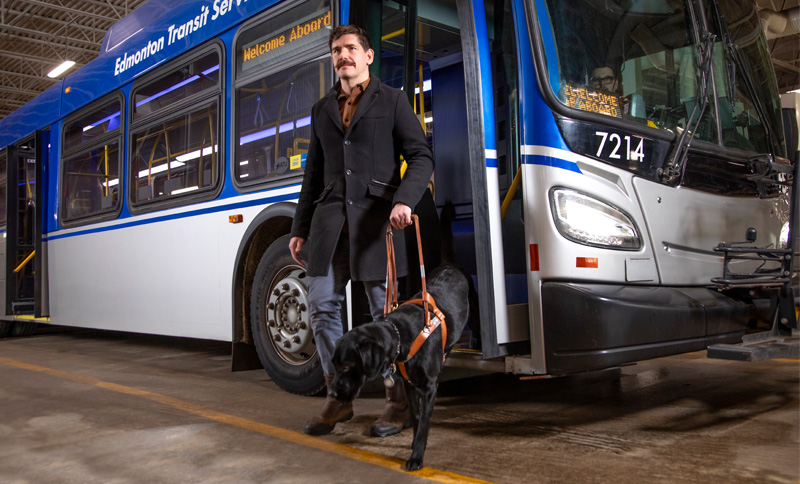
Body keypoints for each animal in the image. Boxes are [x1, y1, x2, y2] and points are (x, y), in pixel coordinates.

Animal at [330, 262, 476, 470]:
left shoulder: (429, 388)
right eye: (334, 365)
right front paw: (414, 443)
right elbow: (415, 416)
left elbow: (424, 422)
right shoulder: (409, 384)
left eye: (347, 367)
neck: (399, 334)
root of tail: (450, 265)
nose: (333, 394)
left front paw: (417, 456)